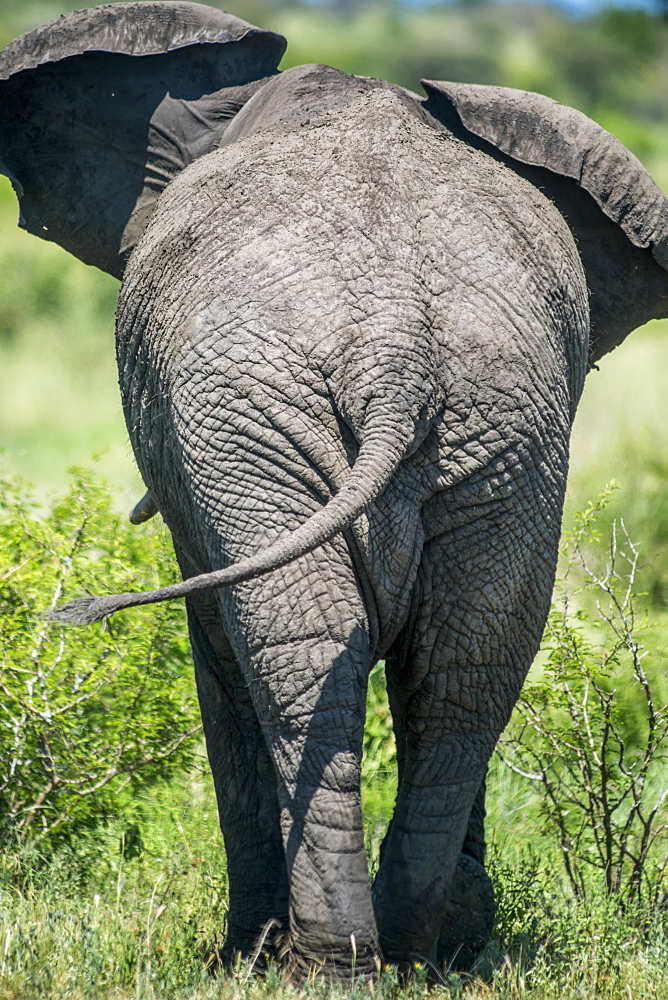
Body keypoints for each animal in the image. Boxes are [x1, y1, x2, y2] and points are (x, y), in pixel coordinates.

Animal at [1, 0, 668, 980]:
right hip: (506, 430)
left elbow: (221, 659)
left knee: (300, 654)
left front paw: (241, 958)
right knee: (465, 668)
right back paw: (422, 953)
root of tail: (395, 346)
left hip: (257, 422)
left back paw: (321, 961)